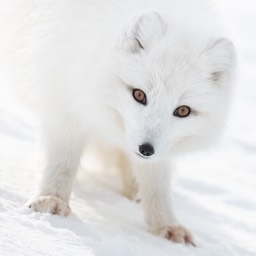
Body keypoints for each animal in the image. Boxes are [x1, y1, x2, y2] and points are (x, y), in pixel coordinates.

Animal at [2, 0, 235, 244]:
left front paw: (165, 225)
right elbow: (61, 162)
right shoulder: (66, 100)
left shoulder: (161, 148)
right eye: (139, 95)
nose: (145, 149)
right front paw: (52, 200)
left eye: (182, 111)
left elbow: (157, 182)